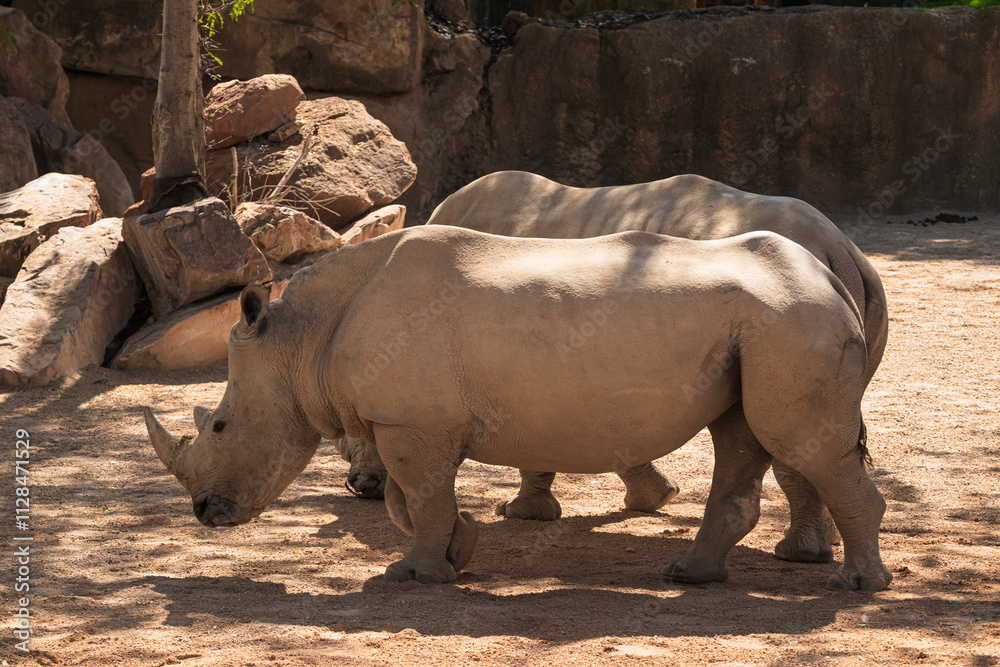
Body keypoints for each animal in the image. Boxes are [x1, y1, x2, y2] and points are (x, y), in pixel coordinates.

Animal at [144, 225, 892, 591]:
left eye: (219, 425)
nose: (203, 513)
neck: (302, 341)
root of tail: (832, 274)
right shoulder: (411, 420)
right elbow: (410, 502)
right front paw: (460, 551)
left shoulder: (410, 421)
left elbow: (419, 498)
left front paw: (412, 576)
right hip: (767, 324)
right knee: (741, 436)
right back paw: (691, 576)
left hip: (791, 322)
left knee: (799, 443)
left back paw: (855, 586)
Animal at [336, 171, 887, 565]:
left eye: (356, 433)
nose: (362, 487)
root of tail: (838, 247)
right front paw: (654, 499)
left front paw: (521, 515)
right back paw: (812, 553)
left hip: (790, 306)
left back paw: (798, 556)